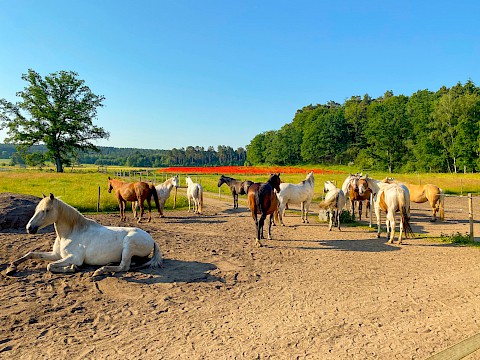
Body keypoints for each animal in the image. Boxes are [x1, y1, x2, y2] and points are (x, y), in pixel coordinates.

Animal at [5, 194, 163, 276]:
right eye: (37, 209)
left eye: (46, 210)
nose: (29, 228)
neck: (71, 233)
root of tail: (151, 239)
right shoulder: (56, 255)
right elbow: (32, 254)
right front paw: (11, 267)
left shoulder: (74, 257)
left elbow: (50, 266)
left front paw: (72, 268)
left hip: (129, 244)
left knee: (124, 266)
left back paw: (100, 270)